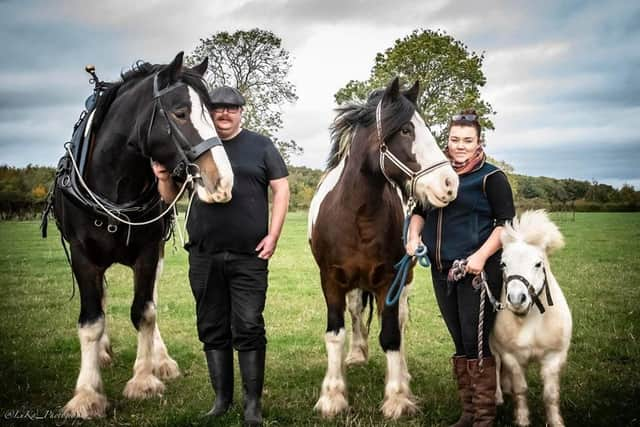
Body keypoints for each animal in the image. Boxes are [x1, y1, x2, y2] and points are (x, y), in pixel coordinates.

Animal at [308, 78, 458, 420]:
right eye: (405, 130)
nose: (449, 183)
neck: (358, 215)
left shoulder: (390, 280)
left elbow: (391, 336)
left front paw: (397, 398)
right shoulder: (331, 279)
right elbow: (334, 333)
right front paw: (333, 396)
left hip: (403, 281)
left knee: (399, 321)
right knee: (355, 312)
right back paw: (356, 354)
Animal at [490, 211, 576, 427]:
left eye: (538, 264)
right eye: (503, 263)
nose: (516, 299)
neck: (531, 320)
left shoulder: (554, 357)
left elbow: (550, 395)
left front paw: (556, 422)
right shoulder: (512, 357)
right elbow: (521, 390)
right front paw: (522, 420)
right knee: (496, 365)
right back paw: (498, 396)